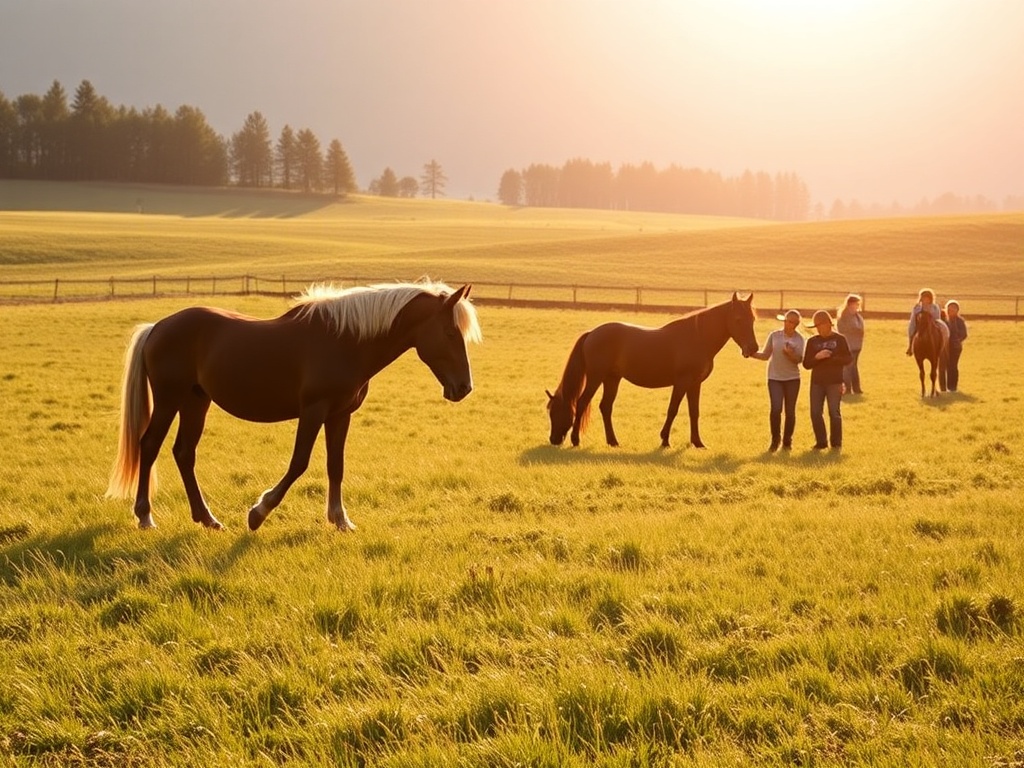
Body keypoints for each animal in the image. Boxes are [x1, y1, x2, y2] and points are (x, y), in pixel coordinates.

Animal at [107, 281, 481, 531]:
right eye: (450, 333)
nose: (464, 388)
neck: (346, 341)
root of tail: (157, 327)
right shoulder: (314, 411)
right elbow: (299, 463)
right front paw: (258, 512)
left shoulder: (340, 415)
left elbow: (335, 465)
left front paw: (340, 520)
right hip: (170, 399)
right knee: (149, 446)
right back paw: (145, 516)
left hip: (196, 401)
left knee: (184, 453)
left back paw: (207, 519)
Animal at [546, 292, 759, 449]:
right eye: (738, 319)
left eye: (752, 319)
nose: (753, 348)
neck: (697, 337)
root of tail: (592, 333)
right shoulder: (681, 382)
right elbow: (673, 410)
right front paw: (665, 440)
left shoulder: (694, 384)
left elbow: (694, 412)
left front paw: (697, 443)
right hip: (595, 377)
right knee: (582, 403)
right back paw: (576, 440)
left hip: (612, 379)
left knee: (605, 407)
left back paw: (613, 441)